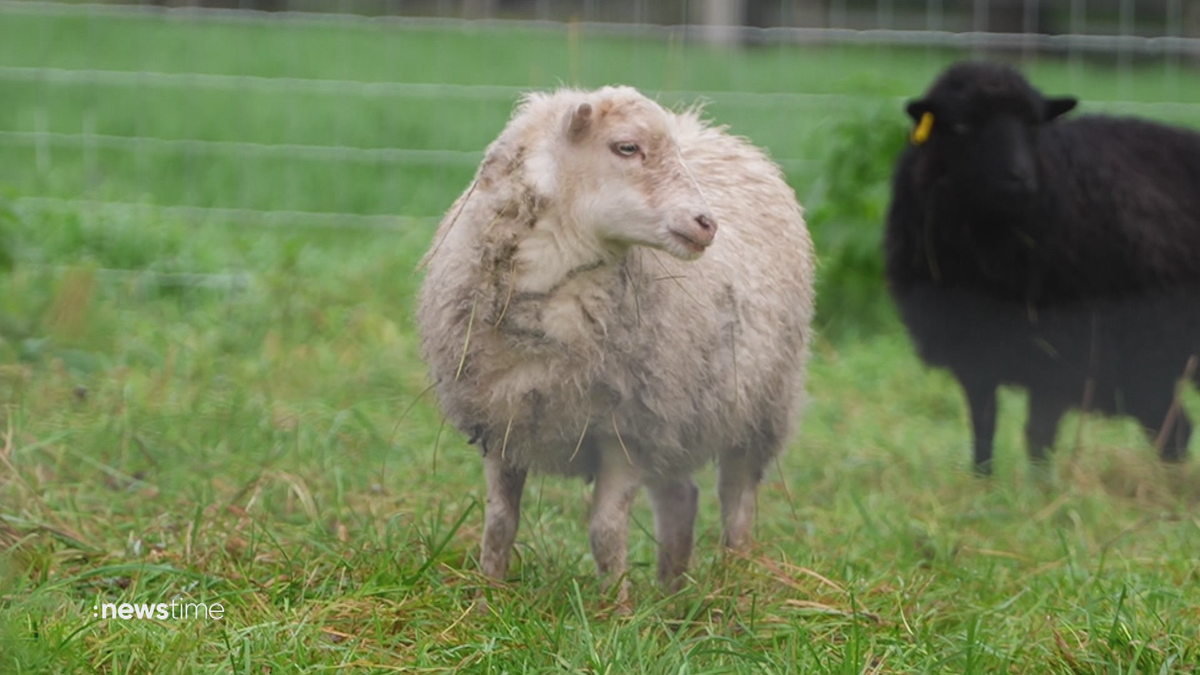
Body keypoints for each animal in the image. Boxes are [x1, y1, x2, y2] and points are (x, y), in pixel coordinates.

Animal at [412, 85, 816, 598]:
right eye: (627, 147)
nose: (707, 223)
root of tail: (714, 134)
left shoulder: (627, 431)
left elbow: (605, 533)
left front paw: (615, 609)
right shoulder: (501, 422)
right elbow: (499, 524)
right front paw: (488, 597)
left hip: (756, 409)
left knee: (737, 503)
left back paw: (735, 581)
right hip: (679, 412)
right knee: (681, 496)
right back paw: (671, 596)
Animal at [883, 61, 1200, 473]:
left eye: (1032, 124)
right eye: (963, 125)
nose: (1020, 177)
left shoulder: (1063, 353)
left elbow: (1038, 435)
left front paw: (1040, 486)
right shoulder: (972, 350)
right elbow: (983, 428)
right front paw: (982, 480)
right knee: (1175, 428)